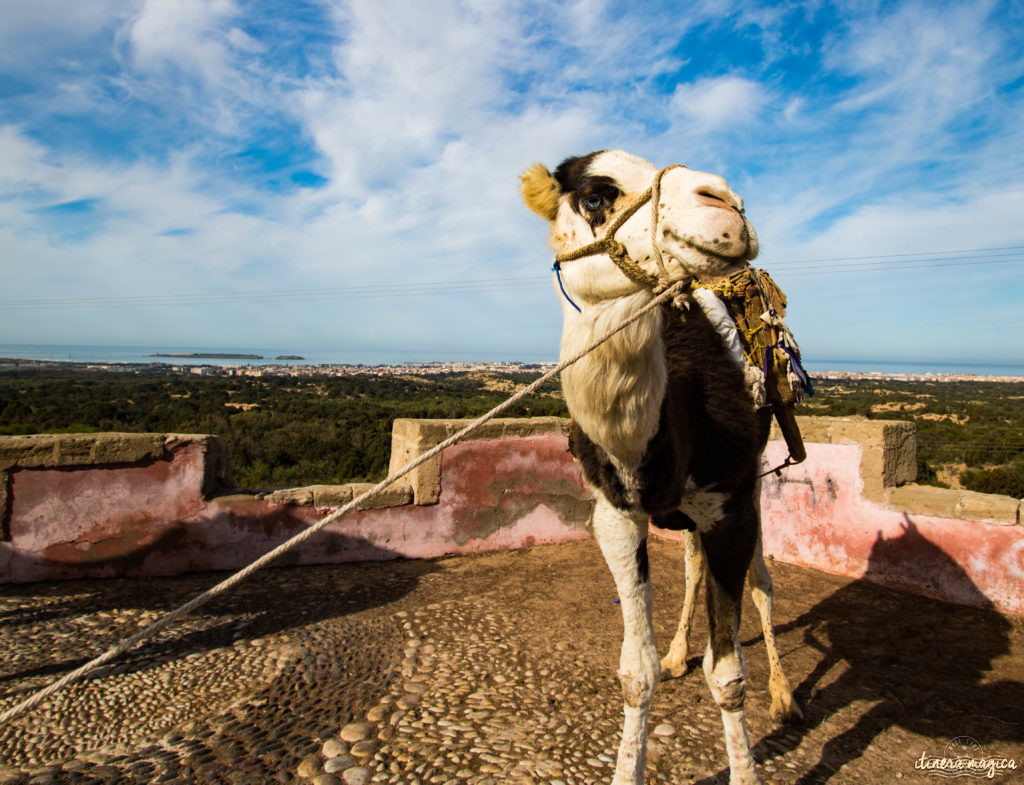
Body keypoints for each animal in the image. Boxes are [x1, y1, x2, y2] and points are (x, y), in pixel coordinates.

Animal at [524, 150, 802, 781]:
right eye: (596, 195)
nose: (726, 203)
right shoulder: (616, 514)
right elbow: (636, 672)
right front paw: (629, 762)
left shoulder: (730, 504)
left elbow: (728, 675)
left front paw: (747, 766)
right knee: (696, 564)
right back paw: (679, 653)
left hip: (753, 483)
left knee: (762, 582)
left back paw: (785, 695)